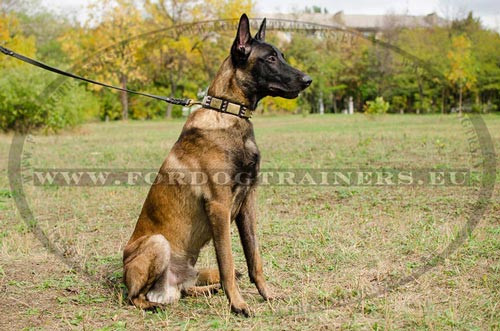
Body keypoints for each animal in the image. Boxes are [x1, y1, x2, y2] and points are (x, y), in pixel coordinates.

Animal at [124, 13, 312, 318]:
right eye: (270, 58)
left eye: (281, 55)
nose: (308, 80)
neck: (229, 111)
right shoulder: (219, 207)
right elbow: (228, 262)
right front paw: (238, 304)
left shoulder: (247, 204)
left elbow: (254, 259)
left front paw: (267, 295)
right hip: (157, 243)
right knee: (135, 296)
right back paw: (154, 304)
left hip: (188, 267)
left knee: (185, 290)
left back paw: (206, 290)